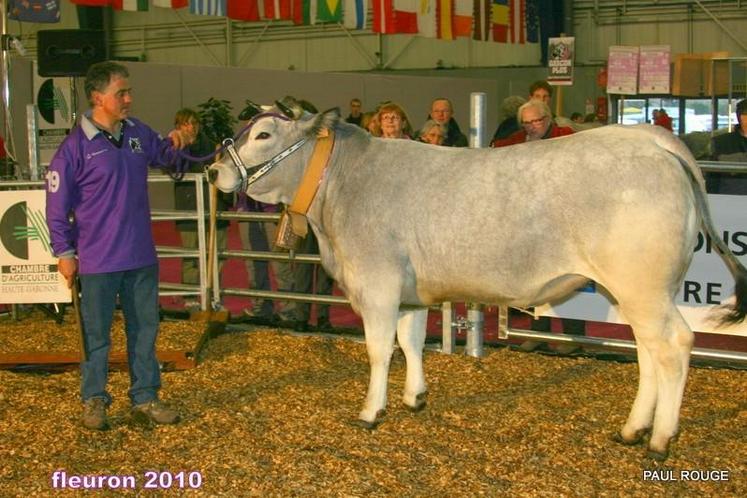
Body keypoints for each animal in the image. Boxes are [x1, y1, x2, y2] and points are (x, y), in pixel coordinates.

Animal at [207, 99, 744, 462]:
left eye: (263, 135)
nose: (212, 171)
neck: (339, 189)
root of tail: (649, 139)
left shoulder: (377, 282)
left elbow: (381, 350)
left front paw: (371, 411)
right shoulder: (410, 291)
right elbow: (412, 340)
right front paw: (415, 398)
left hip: (642, 286)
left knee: (673, 345)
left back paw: (660, 439)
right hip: (636, 290)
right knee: (648, 350)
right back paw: (633, 429)